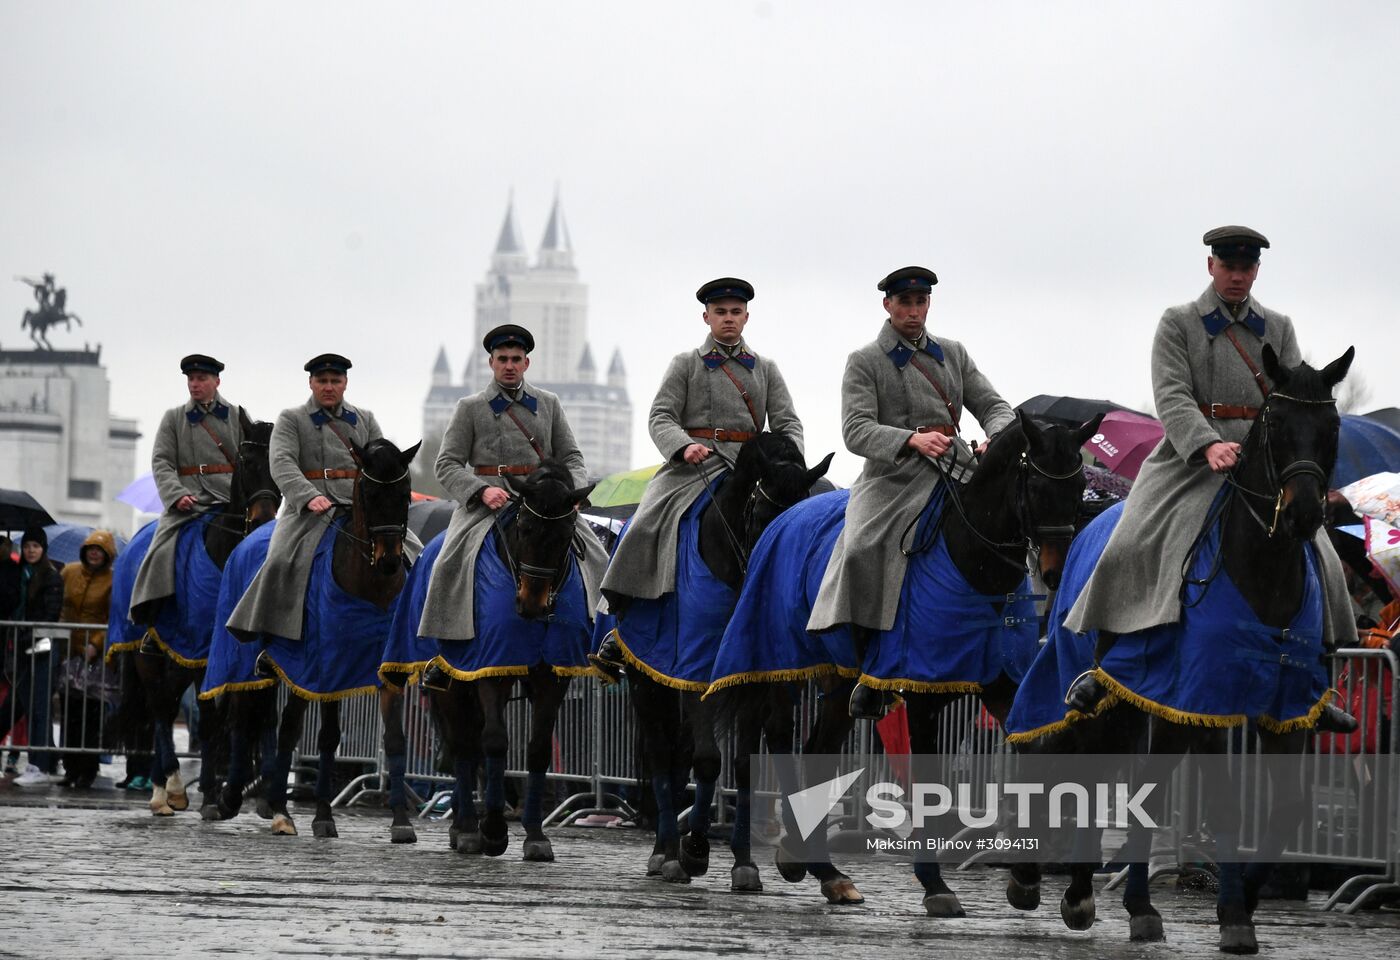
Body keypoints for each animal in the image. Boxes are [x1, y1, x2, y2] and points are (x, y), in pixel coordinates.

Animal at [104, 414, 278, 817]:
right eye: (246, 461)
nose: (263, 518)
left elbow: (242, 714)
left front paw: (231, 794)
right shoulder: (203, 650)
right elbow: (210, 717)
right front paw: (212, 793)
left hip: (178, 657)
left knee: (168, 704)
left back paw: (164, 783)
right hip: (150, 654)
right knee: (160, 707)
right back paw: (166, 789)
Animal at [204, 439, 417, 839]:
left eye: (404, 493)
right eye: (369, 493)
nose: (390, 561)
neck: (371, 591)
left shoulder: (388, 671)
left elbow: (395, 737)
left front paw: (400, 820)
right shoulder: (327, 669)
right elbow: (328, 736)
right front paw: (321, 815)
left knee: (279, 725)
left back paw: (271, 803)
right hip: (247, 660)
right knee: (245, 718)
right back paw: (233, 800)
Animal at [610, 433, 834, 890]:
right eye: (763, 513)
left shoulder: (754, 678)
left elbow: (745, 764)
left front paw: (745, 862)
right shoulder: (696, 674)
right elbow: (709, 761)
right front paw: (694, 850)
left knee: (679, 757)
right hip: (646, 685)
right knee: (661, 755)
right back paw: (665, 853)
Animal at [711, 414, 1103, 912]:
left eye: (1078, 486)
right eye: (1034, 484)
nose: (1056, 574)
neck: (971, 565)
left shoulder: (1001, 685)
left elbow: (1038, 755)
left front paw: (1028, 878)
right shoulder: (923, 697)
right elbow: (930, 785)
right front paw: (935, 884)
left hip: (837, 681)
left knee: (816, 747)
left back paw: (821, 868)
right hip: (777, 663)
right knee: (771, 736)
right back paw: (774, 861)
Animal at [1008, 348, 1355, 957]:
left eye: (1331, 427)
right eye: (1276, 424)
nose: (1305, 514)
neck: (1263, 573)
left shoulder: (1284, 709)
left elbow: (1288, 808)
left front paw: (1245, 899)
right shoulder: (1208, 701)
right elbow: (1222, 804)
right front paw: (1235, 914)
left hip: (1147, 706)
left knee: (1137, 781)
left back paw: (1125, 901)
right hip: (1105, 693)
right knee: (1067, 754)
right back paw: (1052, 885)